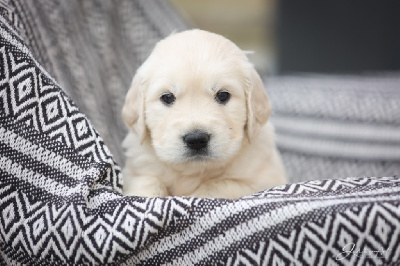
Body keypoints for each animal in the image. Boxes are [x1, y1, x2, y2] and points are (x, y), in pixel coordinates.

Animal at [120, 30, 286, 198]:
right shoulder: (137, 169)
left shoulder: (264, 180)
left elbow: (220, 185)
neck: (194, 171)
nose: (196, 139)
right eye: (167, 97)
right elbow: (147, 181)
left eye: (223, 95)